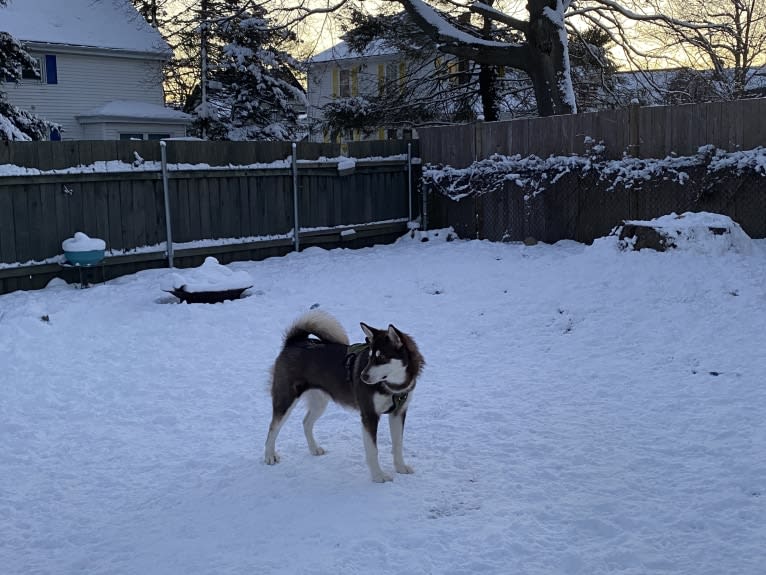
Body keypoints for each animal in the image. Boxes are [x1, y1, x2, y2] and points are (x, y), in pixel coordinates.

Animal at [266, 310, 426, 482]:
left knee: (306, 422)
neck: (393, 387)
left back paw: (314, 448)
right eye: (370, 356)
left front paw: (400, 467)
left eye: (381, 357)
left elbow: (397, 445)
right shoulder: (369, 415)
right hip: (286, 399)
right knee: (273, 427)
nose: (362, 376)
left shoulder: (399, 412)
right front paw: (378, 476)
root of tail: (295, 341)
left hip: (319, 402)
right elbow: (373, 451)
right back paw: (269, 455)